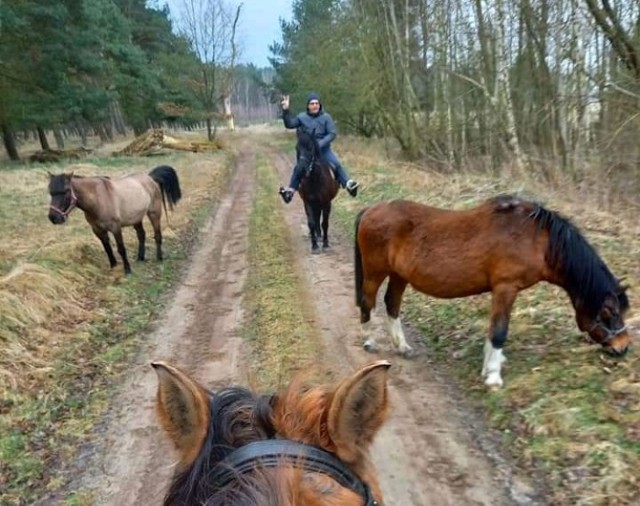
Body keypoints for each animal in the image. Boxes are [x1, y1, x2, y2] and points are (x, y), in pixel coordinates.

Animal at [47, 166, 181, 274]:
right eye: (50, 192)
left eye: (66, 191)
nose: (53, 218)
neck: (98, 200)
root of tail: (150, 178)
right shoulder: (98, 230)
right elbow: (107, 248)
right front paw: (113, 265)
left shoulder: (115, 228)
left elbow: (121, 248)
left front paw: (127, 270)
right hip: (136, 218)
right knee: (141, 235)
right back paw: (140, 258)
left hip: (154, 214)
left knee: (157, 235)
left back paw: (159, 258)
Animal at [352, 196, 632, 390]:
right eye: (609, 312)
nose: (623, 347)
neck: (536, 239)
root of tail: (370, 210)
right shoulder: (506, 288)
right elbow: (499, 331)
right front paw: (494, 377)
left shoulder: (501, 291)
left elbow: (492, 329)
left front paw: (489, 367)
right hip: (375, 272)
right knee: (368, 302)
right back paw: (369, 341)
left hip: (399, 275)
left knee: (391, 304)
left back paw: (402, 347)